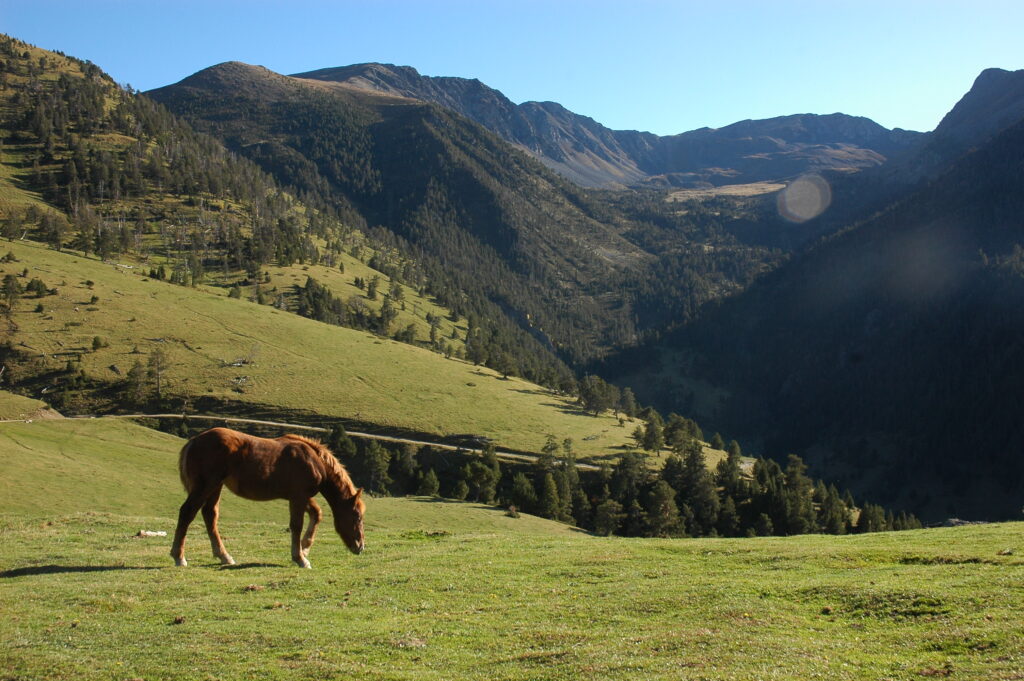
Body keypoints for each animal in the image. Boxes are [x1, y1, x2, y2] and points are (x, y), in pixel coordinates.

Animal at [166, 428, 360, 565]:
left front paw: (305, 548)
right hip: (206, 486)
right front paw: (300, 558)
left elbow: (316, 513)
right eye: (357, 517)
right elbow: (296, 525)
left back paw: (224, 556)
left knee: (210, 514)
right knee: (187, 512)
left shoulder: (298, 496)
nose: (360, 547)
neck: (313, 460)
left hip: (216, 486)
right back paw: (179, 557)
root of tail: (194, 441)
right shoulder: (299, 496)